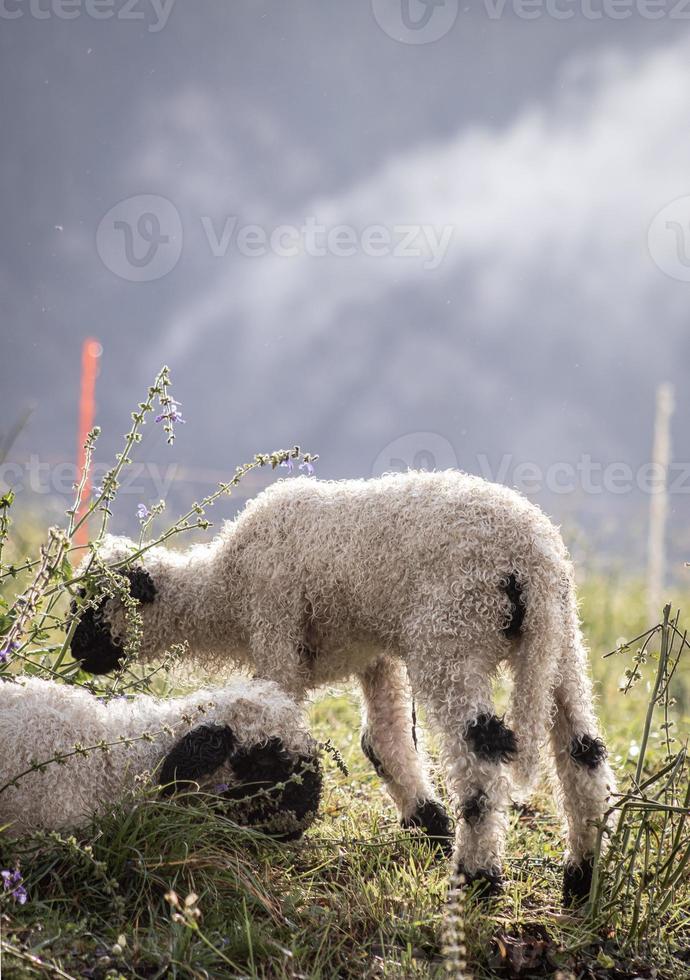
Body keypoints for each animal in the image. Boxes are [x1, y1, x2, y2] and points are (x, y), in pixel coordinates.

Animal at [70, 468, 616, 904]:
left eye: (95, 606)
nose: (76, 653)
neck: (223, 592)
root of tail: (530, 559)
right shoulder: (376, 655)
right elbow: (385, 741)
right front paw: (429, 827)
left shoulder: (275, 624)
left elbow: (279, 719)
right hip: (560, 647)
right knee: (583, 756)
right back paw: (580, 881)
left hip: (451, 639)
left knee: (481, 761)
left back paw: (479, 879)